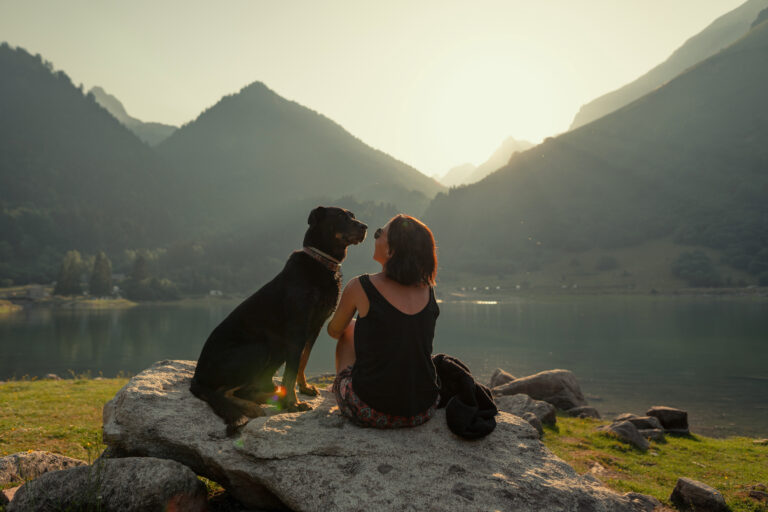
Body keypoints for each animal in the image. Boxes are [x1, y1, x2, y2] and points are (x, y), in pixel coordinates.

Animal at [188, 206, 364, 434]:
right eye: (342, 216)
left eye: (353, 216)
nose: (365, 227)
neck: (321, 261)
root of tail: (197, 376)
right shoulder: (297, 330)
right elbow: (291, 371)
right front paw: (293, 403)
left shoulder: (314, 327)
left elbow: (303, 361)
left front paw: (303, 388)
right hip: (259, 349)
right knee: (222, 392)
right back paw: (254, 407)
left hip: (276, 350)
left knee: (246, 389)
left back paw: (271, 396)